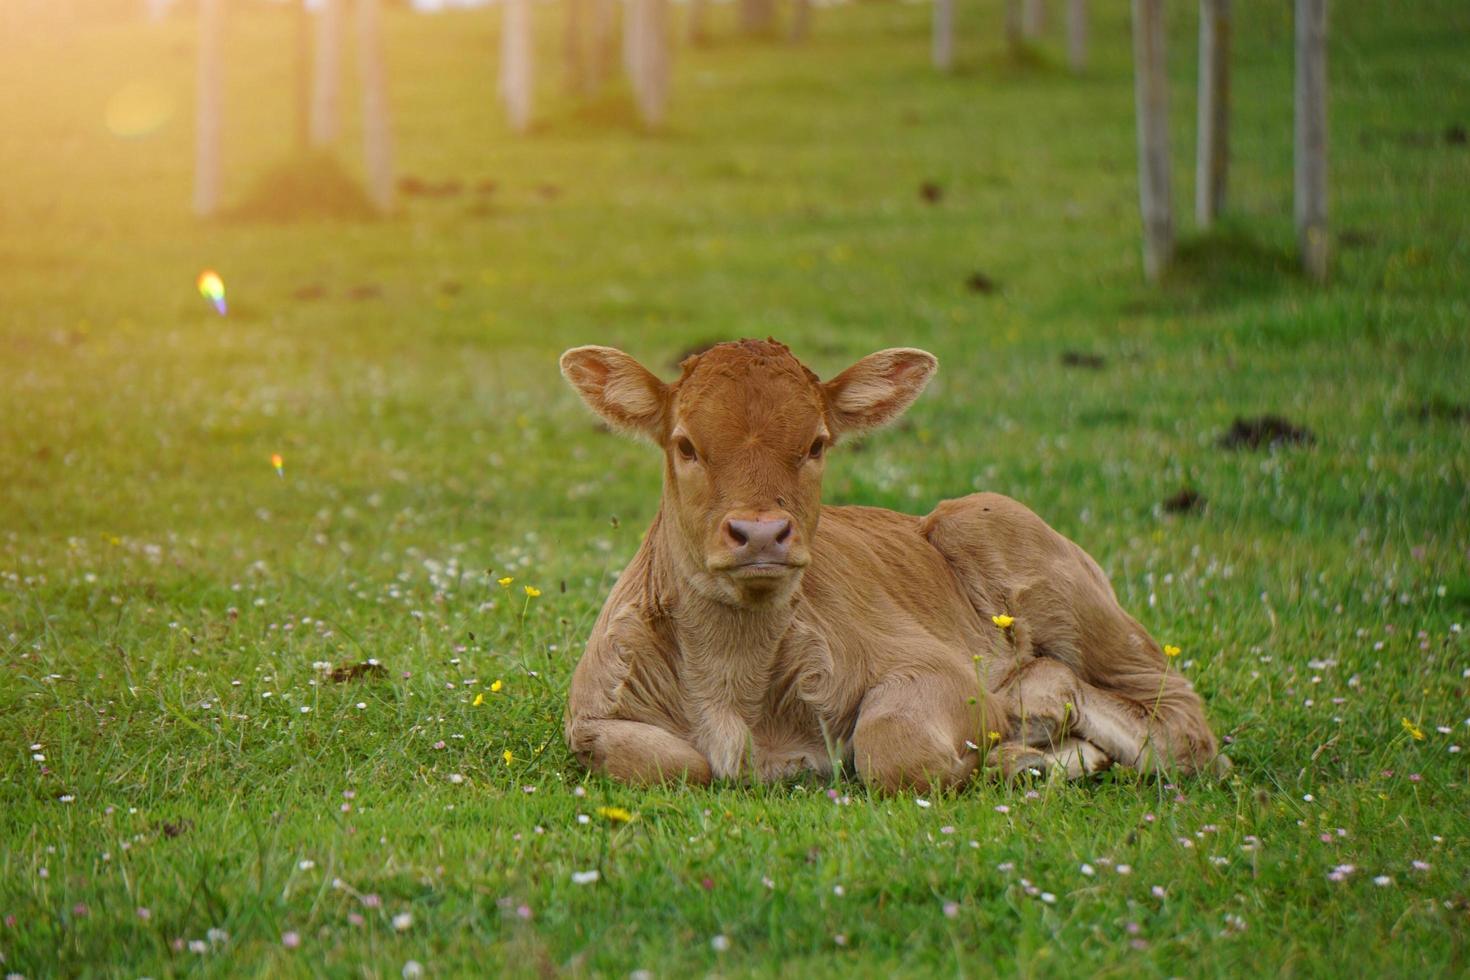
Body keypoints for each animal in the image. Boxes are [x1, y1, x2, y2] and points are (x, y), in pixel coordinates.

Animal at [561, 340, 1228, 793]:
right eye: (686, 445)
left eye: (816, 444)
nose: (761, 533)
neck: (732, 687)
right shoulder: (589, 715)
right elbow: (676, 762)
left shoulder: (935, 669)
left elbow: (890, 749)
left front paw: (1008, 743)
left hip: (1016, 547)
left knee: (1180, 719)